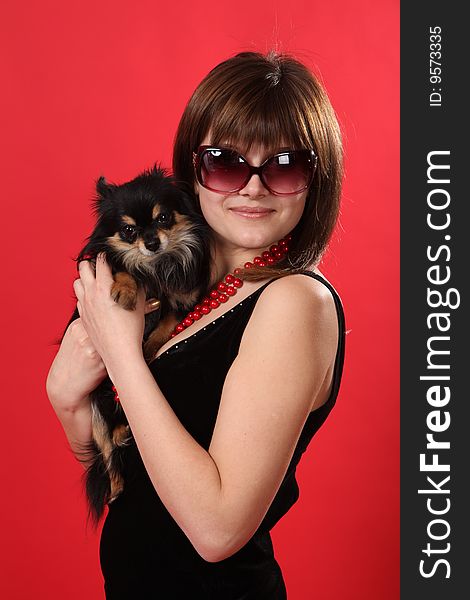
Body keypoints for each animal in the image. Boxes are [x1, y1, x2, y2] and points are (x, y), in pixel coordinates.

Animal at [63, 164, 210, 524]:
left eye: (163, 218)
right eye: (129, 230)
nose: (153, 242)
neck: (154, 267)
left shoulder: (180, 300)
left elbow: (167, 321)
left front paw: (148, 346)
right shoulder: (105, 264)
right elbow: (126, 270)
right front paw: (126, 290)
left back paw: (125, 432)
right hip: (97, 411)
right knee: (107, 452)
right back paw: (115, 486)